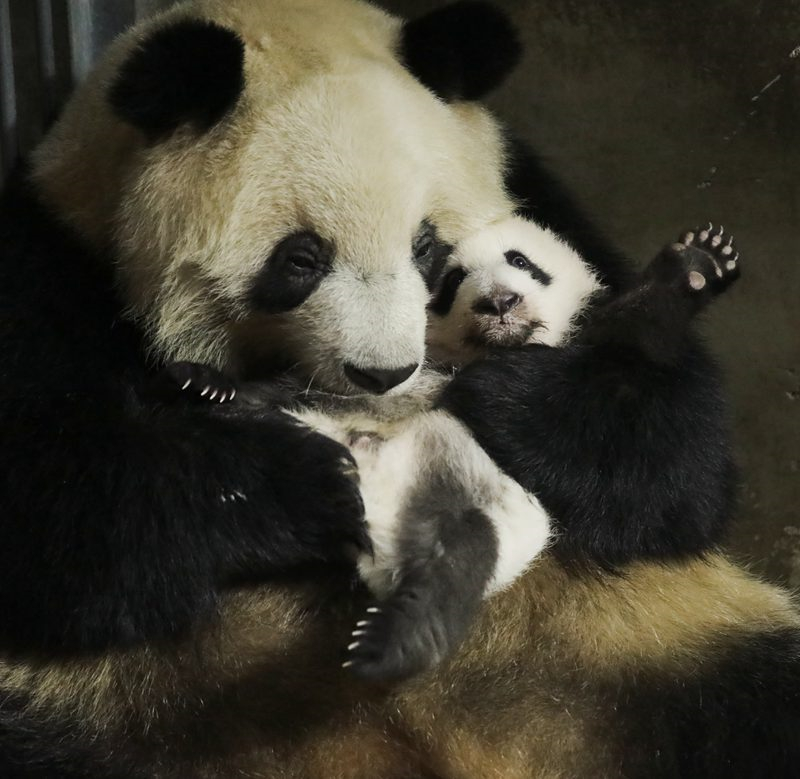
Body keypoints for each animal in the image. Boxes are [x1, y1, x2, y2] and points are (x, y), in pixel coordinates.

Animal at [0, 1, 796, 779]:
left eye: (425, 247)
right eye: (301, 259)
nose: (384, 375)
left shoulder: (540, 195)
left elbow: (678, 470)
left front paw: (519, 391)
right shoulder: (52, 256)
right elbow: (59, 506)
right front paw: (301, 479)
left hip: (631, 649)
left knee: (743, 697)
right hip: (115, 703)